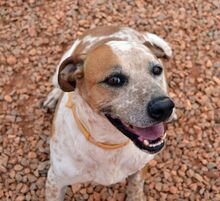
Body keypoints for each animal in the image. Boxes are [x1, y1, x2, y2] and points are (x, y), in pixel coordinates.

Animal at [43, 26, 176, 201]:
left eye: (156, 70)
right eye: (114, 80)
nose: (165, 107)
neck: (110, 143)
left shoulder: (140, 168)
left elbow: (135, 189)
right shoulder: (55, 180)